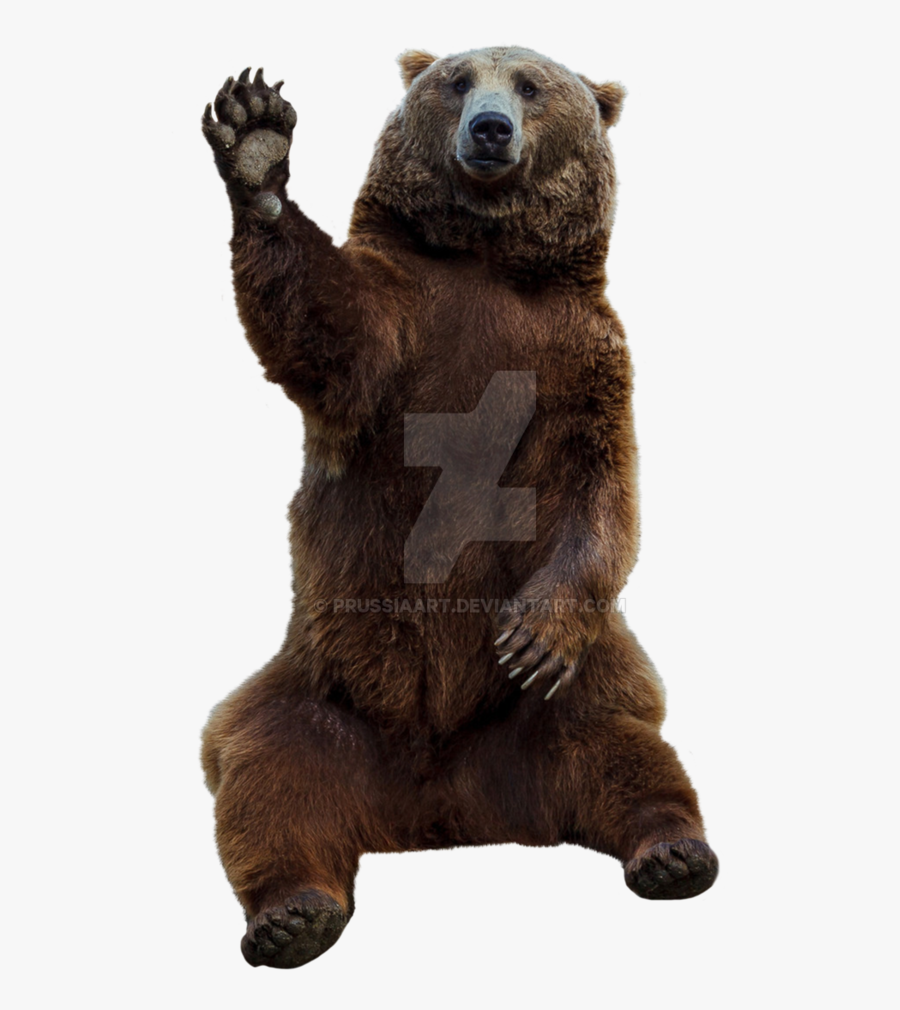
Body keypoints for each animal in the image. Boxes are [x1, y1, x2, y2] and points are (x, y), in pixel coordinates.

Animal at [200, 46, 718, 970]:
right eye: (457, 79)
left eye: (532, 85)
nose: (489, 129)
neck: (489, 260)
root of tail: (442, 812)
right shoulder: (407, 323)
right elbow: (327, 331)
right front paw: (256, 138)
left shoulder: (582, 353)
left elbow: (603, 485)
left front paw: (535, 634)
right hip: (320, 693)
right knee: (268, 772)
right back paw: (293, 916)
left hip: (553, 707)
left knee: (621, 745)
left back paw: (673, 852)